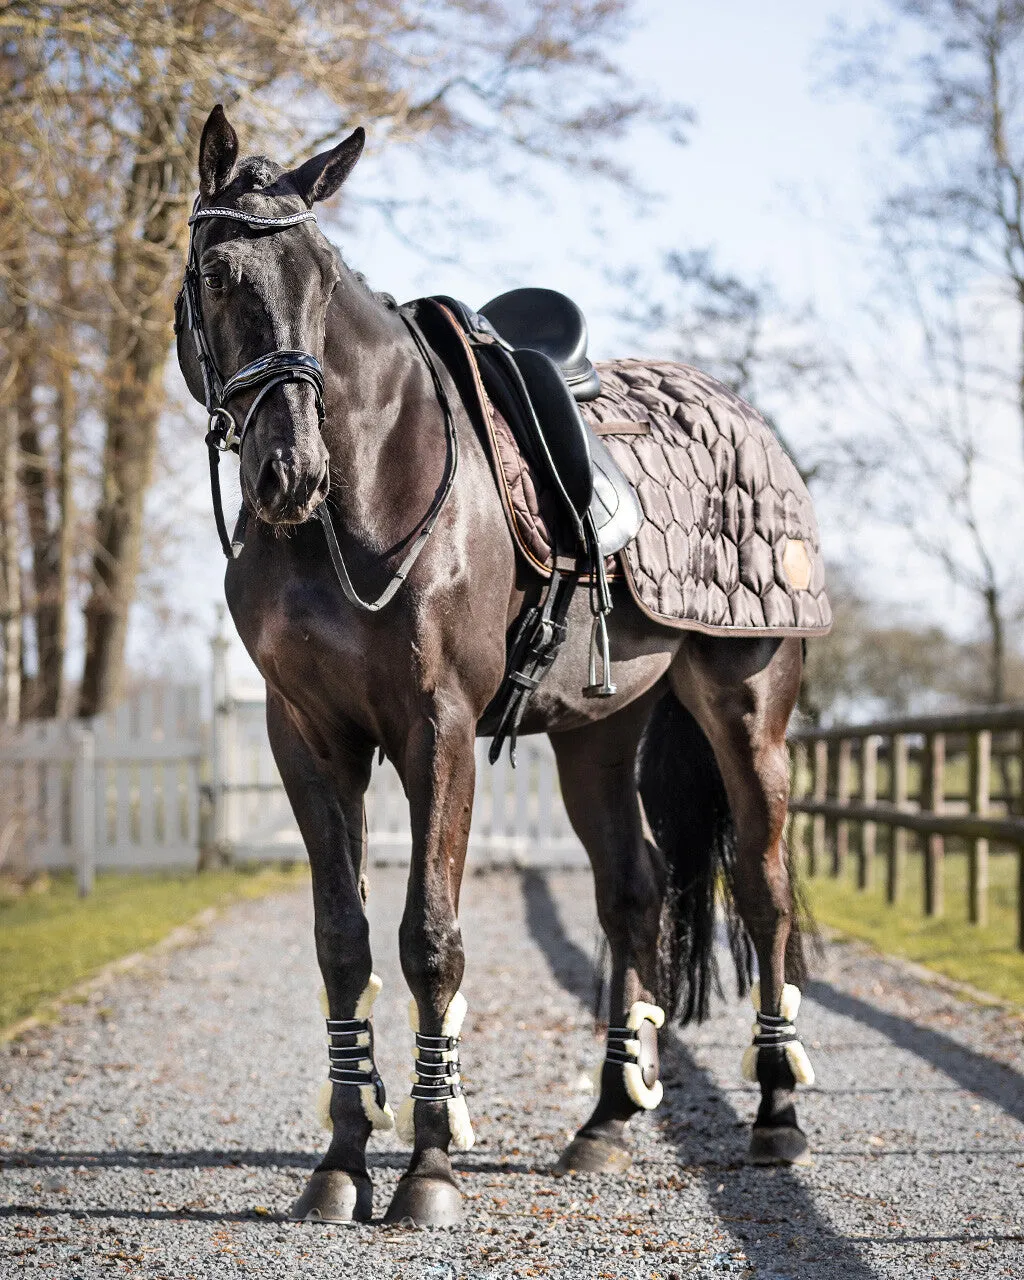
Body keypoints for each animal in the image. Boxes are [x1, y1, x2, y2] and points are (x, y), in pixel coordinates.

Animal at [174, 110, 814, 1228]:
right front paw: (342, 1162)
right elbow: (342, 941)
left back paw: (776, 1111)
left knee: (762, 887)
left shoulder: (437, 730)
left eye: (321, 277)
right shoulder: (307, 736)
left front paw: (428, 1168)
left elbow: (431, 937)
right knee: (632, 892)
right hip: (601, 733)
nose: (289, 470)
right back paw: (606, 1119)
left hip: (746, 711)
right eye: (215, 273)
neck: (361, 498)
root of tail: (747, 421)